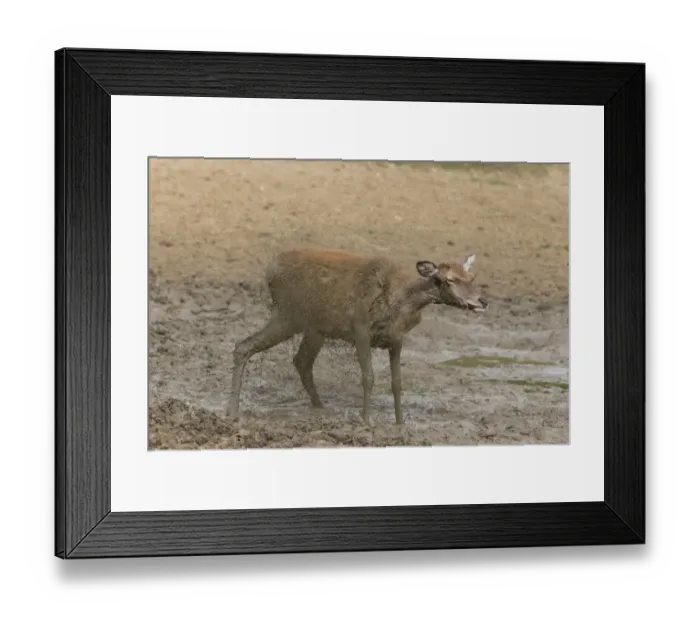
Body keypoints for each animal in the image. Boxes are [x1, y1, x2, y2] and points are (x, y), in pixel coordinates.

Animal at [225, 248, 489, 425]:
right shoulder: (360, 329)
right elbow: (368, 377)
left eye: (472, 278)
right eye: (449, 279)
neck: (399, 303)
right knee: (243, 346)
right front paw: (365, 421)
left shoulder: (397, 339)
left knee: (301, 361)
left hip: (314, 328)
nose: (482, 301)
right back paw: (231, 412)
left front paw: (400, 424)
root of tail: (270, 271)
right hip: (288, 315)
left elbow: (397, 383)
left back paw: (321, 408)